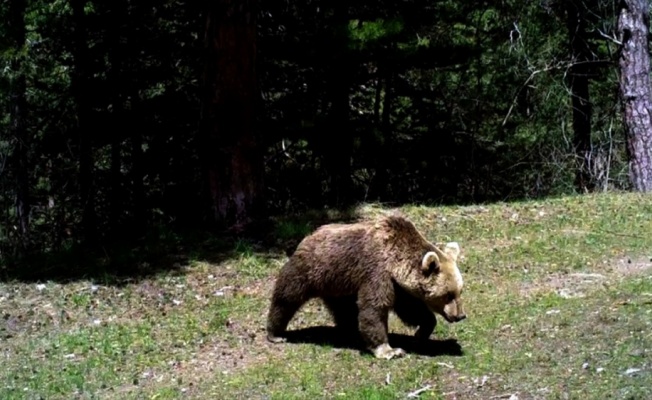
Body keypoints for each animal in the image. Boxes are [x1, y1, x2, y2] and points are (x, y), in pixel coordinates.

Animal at [268, 214, 466, 360]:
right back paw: (276, 333)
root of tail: (308, 235)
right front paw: (390, 350)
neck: (395, 260)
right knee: (287, 297)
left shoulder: (398, 286)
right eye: (448, 294)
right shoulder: (376, 272)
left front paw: (421, 334)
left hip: (339, 285)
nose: (460, 315)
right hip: (313, 269)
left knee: (344, 309)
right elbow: (375, 307)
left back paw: (350, 330)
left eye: (459, 291)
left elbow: (411, 310)